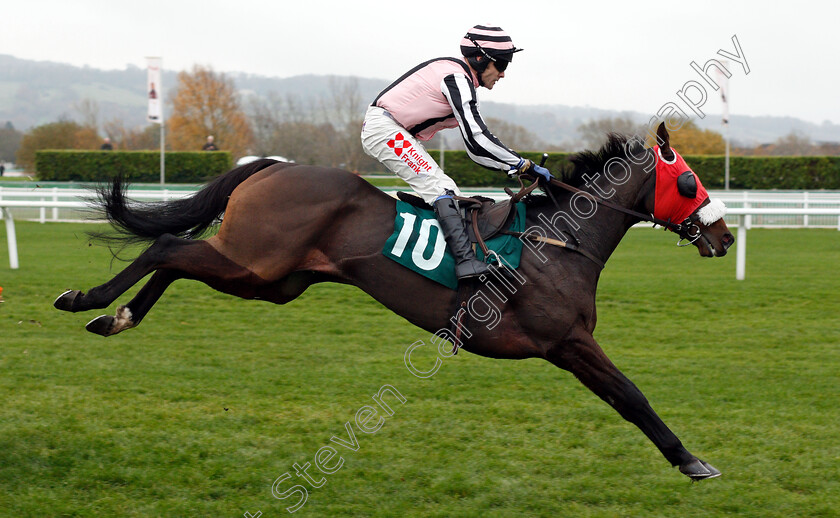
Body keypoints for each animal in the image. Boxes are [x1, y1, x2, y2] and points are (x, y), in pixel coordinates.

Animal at [54, 124, 736, 482]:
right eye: (689, 181)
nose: (725, 236)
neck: (557, 243)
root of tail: (271, 167)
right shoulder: (567, 342)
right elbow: (632, 396)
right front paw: (692, 460)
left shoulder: (567, 346)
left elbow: (626, 398)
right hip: (257, 260)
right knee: (168, 245)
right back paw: (86, 298)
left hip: (268, 278)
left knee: (175, 259)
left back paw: (115, 317)